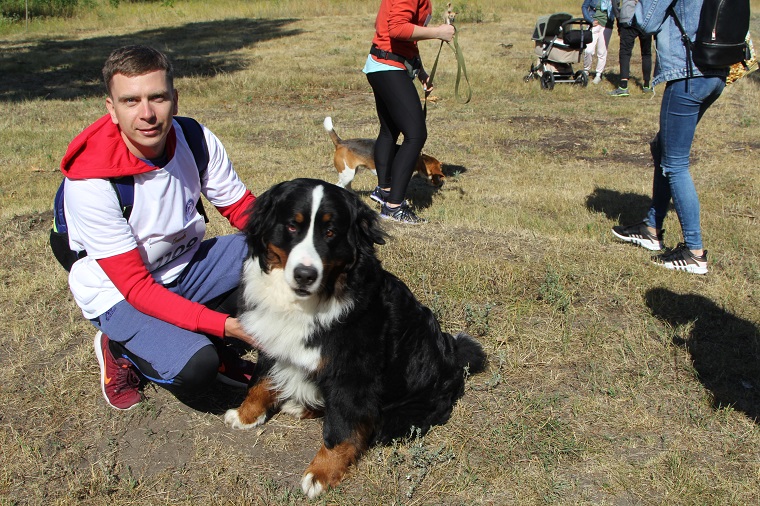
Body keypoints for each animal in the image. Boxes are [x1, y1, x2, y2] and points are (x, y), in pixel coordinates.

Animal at [226, 178, 486, 498]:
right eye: (291, 226)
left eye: (330, 232)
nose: (305, 275)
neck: (309, 300)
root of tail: (453, 358)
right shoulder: (272, 339)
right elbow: (259, 381)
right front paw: (246, 415)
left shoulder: (351, 373)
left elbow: (340, 428)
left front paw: (321, 473)